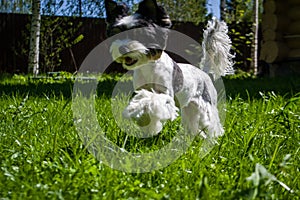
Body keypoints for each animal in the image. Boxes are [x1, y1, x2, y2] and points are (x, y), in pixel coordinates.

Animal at [105, 0, 234, 138]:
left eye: (140, 34)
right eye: (116, 35)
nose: (122, 48)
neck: (148, 67)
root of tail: (204, 73)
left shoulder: (166, 94)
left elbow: (152, 99)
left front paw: (136, 108)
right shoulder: (141, 89)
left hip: (207, 104)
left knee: (212, 122)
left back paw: (214, 136)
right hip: (190, 108)